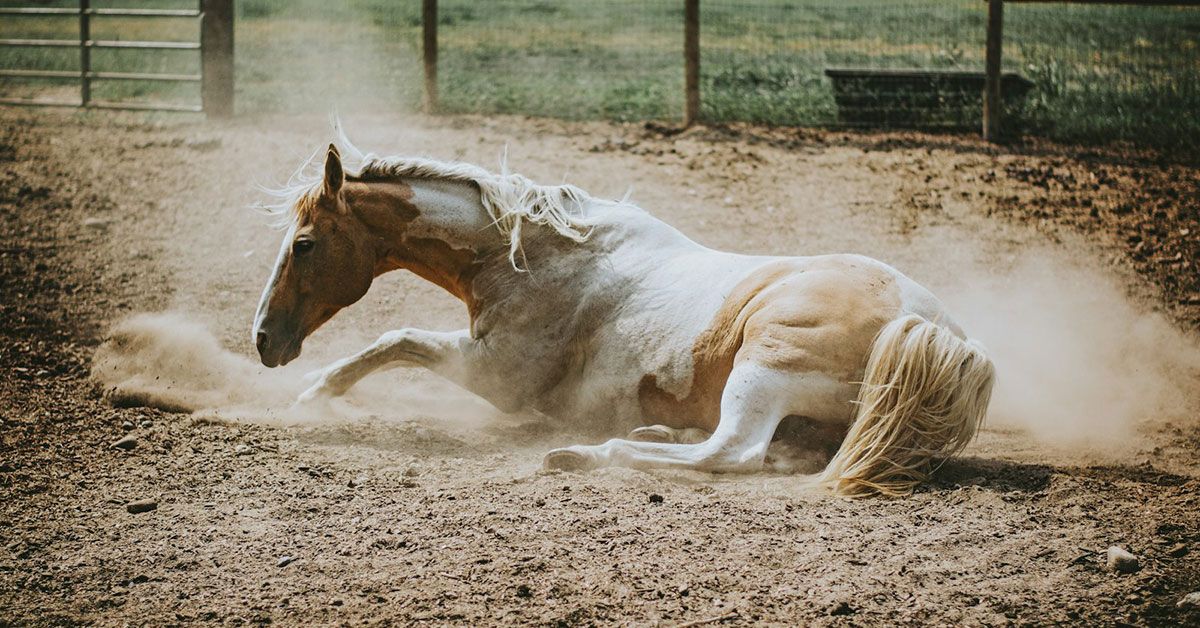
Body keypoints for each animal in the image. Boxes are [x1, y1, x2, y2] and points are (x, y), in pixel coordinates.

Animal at [252, 138, 995, 497]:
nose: (263, 341)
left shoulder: (496, 376)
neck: (530, 256)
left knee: (735, 451)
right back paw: (651, 431)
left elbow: (394, 337)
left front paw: (312, 396)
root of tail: (934, 330)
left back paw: (587, 453)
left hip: (764, 367)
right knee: (768, 451)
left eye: (304, 244)